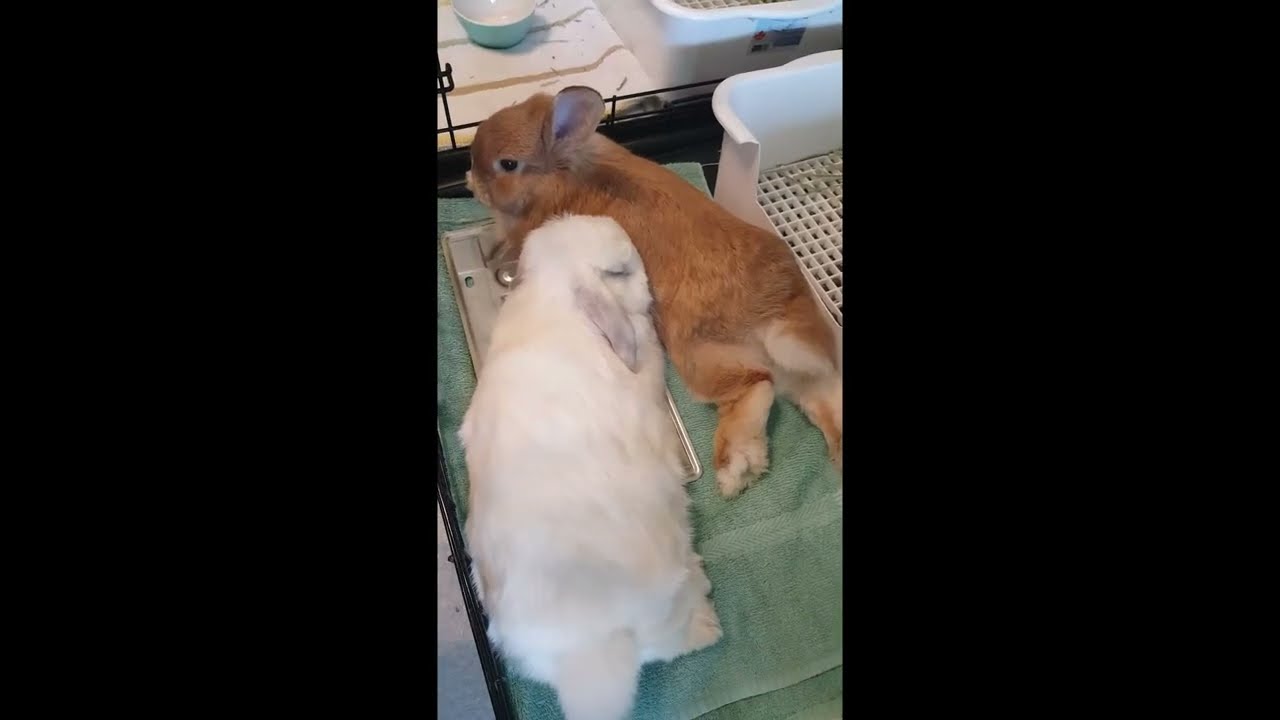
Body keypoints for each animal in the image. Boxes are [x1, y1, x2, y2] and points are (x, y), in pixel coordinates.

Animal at [458, 215, 723, 720]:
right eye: (618, 271)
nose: (641, 268)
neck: (554, 299)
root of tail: (589, 650)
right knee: (672, 640)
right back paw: (708, 622)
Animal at [465, 86, 842, 499]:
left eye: (508, 164)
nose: (470, 180)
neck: (563, 172)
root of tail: (776, 310)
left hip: (700, 355)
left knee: (756, 384)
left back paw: (733, 471)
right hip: (802, 373)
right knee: (823, 396)